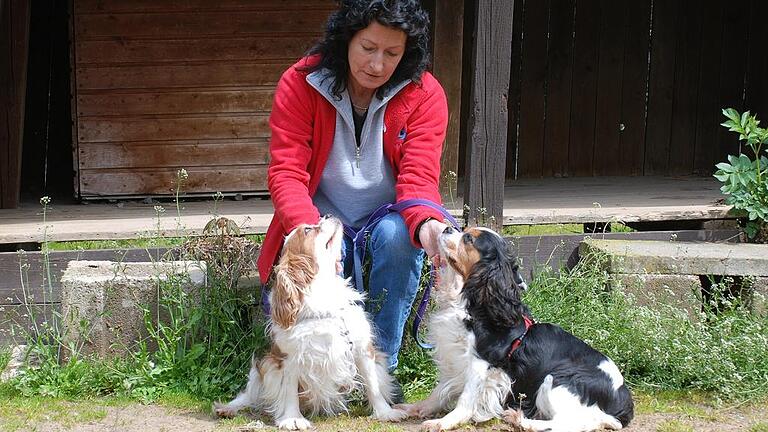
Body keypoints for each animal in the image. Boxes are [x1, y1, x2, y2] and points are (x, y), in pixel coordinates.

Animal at [216, 216, 408, 428]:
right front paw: (293, 418)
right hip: (263, 366)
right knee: (249, 394)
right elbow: (289, 391)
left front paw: (385, 412)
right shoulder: (288, 358)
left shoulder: (362, 349)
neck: (323, 294)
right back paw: (227, 408)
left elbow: (373, 384)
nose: (327, 215)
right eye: (308, 230)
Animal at [440, 226, 632, 432]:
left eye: (468, 238)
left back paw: (520, 420)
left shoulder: (480, 362)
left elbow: (465, 399)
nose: (447, 228)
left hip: (556, 381)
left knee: (568, 423)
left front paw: (441, 422)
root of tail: (622, 399)